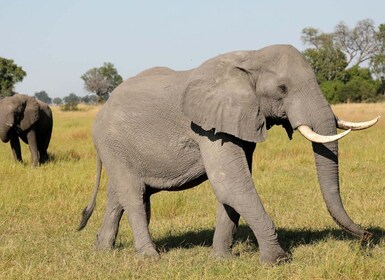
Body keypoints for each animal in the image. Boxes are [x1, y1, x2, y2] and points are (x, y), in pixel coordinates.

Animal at [77, 44, 378, 264]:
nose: (368, 236)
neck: (251, 57)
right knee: (134, 195)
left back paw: (102, 250)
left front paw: (221, 260)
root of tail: (102, 109)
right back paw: (150, 258)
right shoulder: (207, 127)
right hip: (112, 143)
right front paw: (277, 261)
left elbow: (233, 188)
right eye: (282, 89)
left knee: (120, 195)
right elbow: (231, 184)